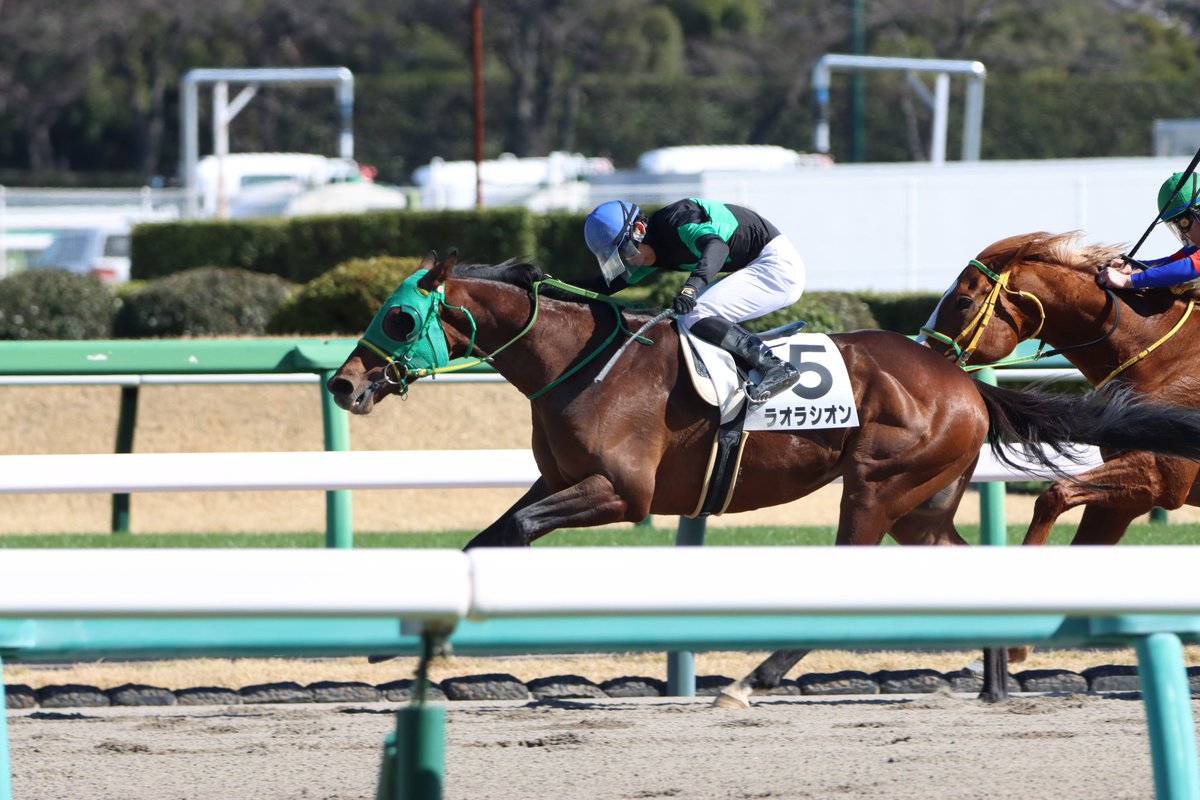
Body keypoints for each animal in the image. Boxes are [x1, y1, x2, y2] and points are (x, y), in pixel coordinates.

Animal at [920, 229, 1200, 548]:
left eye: (963, 302)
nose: (921, 348)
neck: (1166, 359)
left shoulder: (1161, 475)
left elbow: (1053, 494)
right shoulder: (1128, 499)